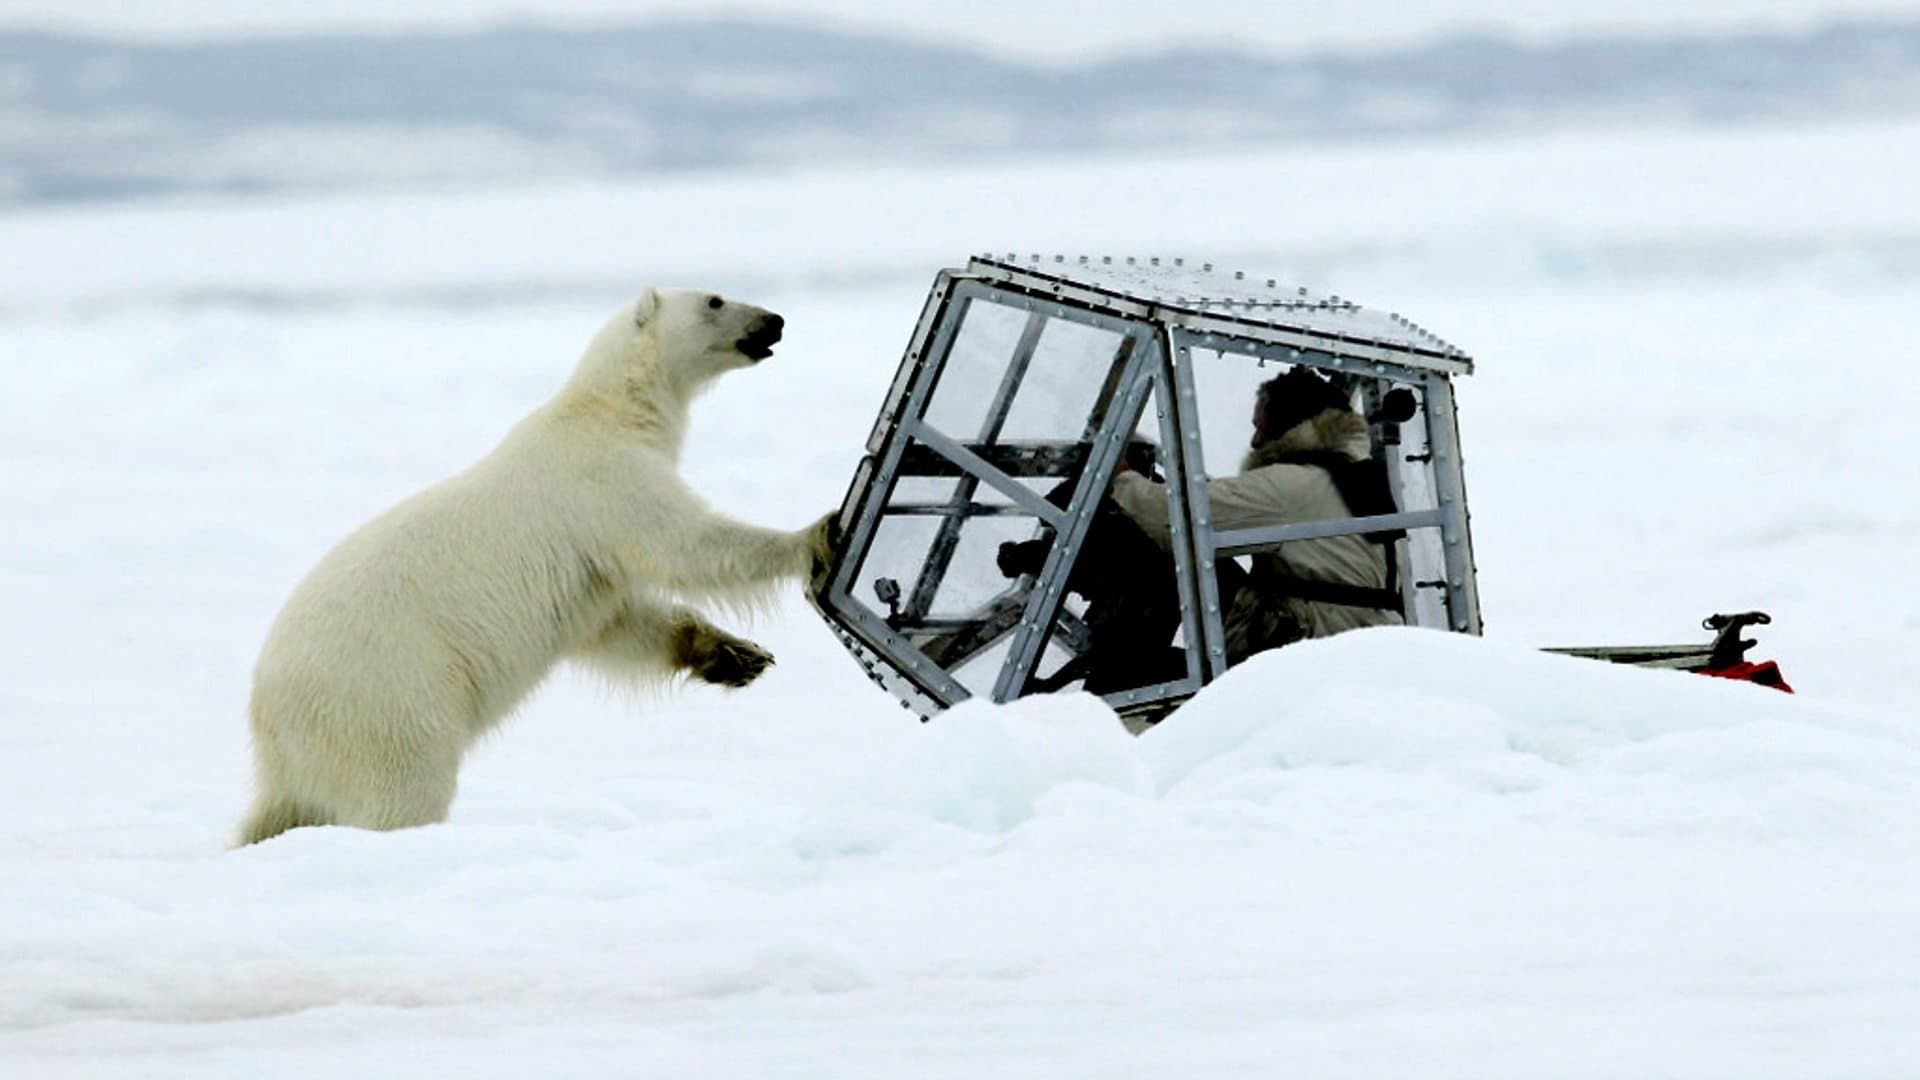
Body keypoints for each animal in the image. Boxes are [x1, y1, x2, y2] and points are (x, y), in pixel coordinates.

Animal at [236, 286, 829, 841]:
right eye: (715, 299)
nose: (775, 320)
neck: (609, 411)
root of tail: (267, 711)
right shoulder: (606, 481)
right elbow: (686, 543)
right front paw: (816, 536)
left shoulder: (590, 566)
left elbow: (619, 625)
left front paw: (735, 655)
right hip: (388, 690)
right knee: (404, 786)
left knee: (281, 811)